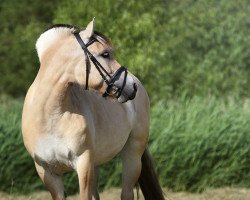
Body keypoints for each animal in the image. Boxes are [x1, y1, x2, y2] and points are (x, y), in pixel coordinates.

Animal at [21, 19, 164, 200]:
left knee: (126, 193)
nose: (132, 87)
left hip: (132, 155)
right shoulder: (47, 172)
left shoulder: (84, 164)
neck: (50, 116)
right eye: (105, 54)